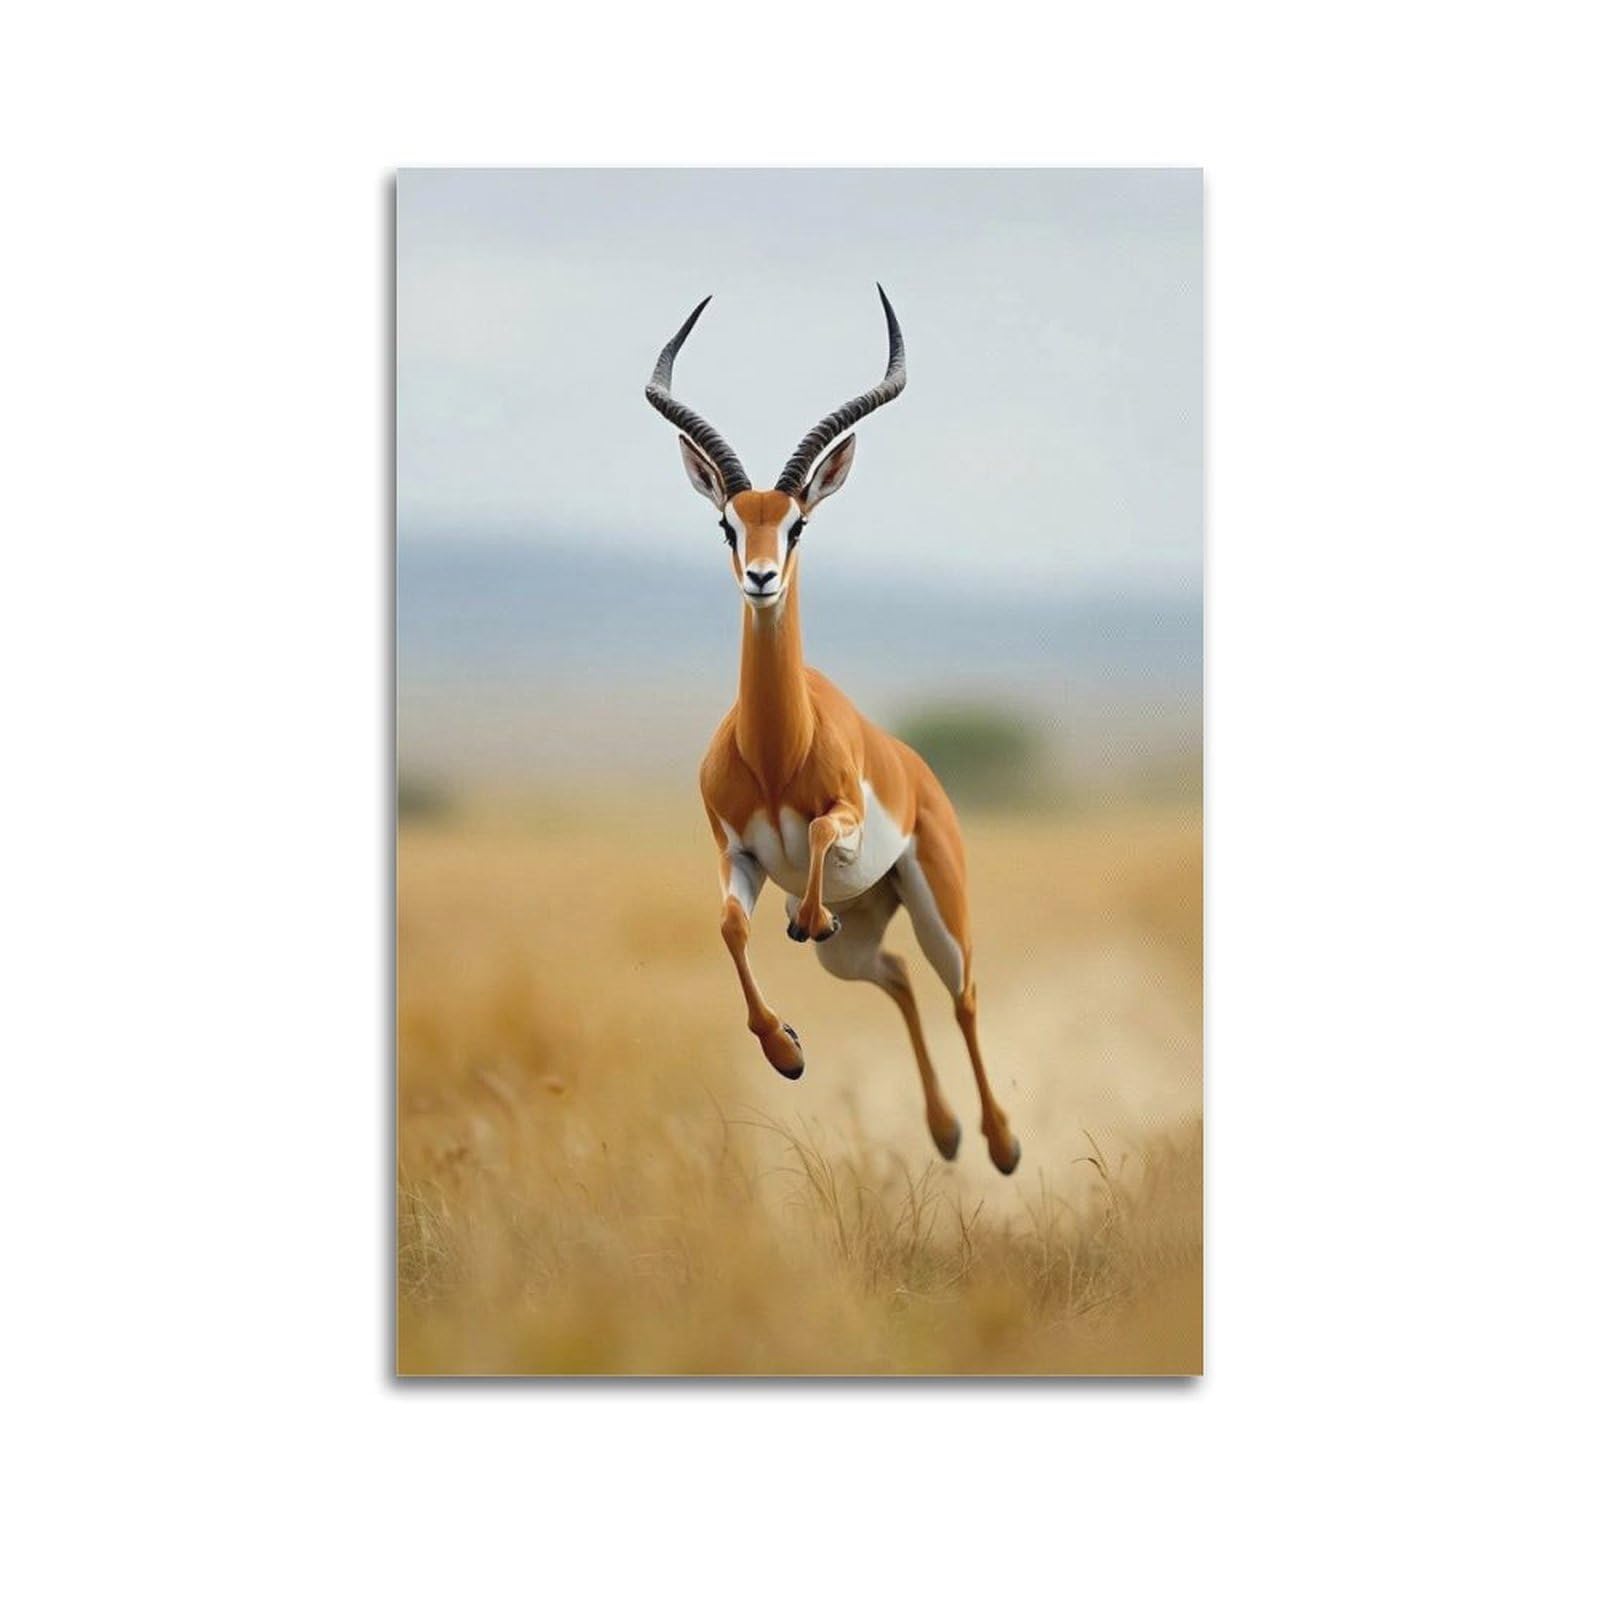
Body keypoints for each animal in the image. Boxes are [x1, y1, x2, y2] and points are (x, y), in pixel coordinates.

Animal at [645, 287, 1021, 1174]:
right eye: (729, 524)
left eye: (798, 525)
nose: (760, 578)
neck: (776, 752)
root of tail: (920, 772)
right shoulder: (736, 855)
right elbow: (730, 925)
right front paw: (785, 1050)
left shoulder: (838, 818)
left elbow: (818, 831)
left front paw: (806, 919)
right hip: (854, 947)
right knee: (897, 974)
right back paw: (944, 1132)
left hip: (937, 905)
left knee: (962, 991)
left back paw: (999, 1142)